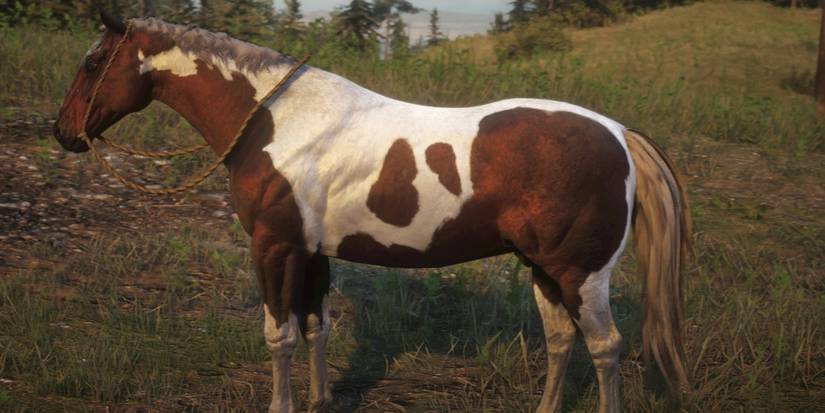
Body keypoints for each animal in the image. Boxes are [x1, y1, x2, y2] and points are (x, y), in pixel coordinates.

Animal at [54, 11, 691, 413]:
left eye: (93, 61)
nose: (62, 132)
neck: (274, 120)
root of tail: (618, 132)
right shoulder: (312, 252)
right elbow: (315, 327)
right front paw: (320, 399)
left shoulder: (274, 247)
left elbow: (279, 335)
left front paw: (282, 403)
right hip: (546, 269)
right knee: (561, 341)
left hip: (582, 273)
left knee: (605, 347)